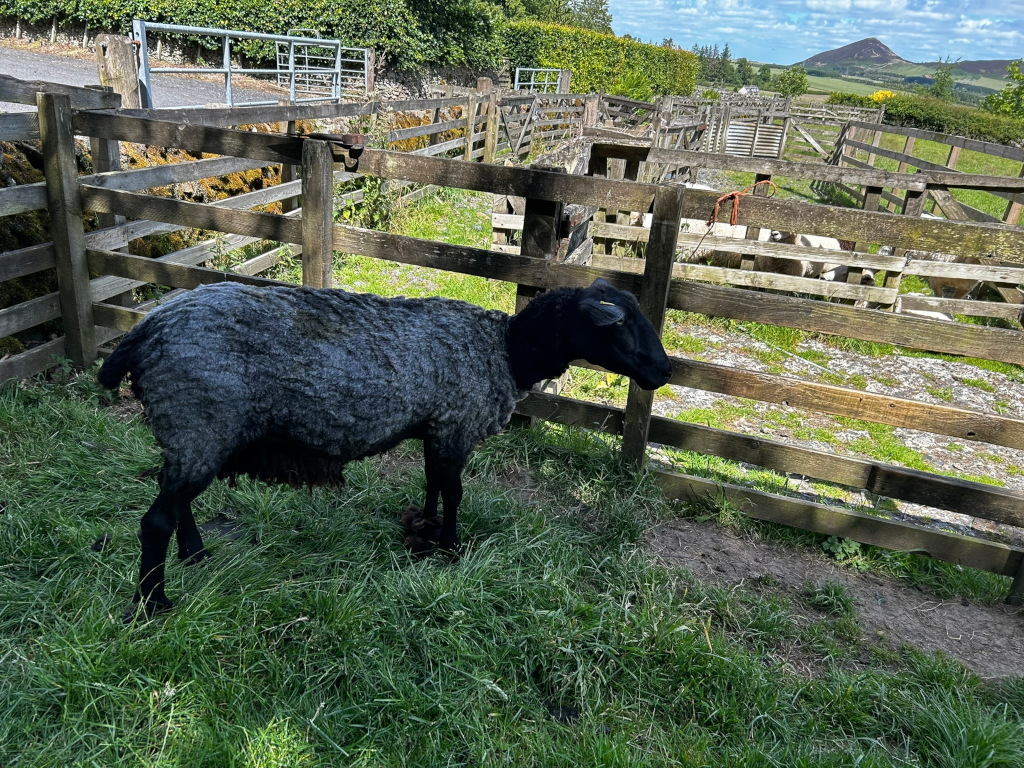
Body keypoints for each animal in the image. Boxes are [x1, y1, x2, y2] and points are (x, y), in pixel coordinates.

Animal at [98, 278, 673, 617]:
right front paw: (451, 547)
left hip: (194, 432)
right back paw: (154, 602)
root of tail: (142, 334)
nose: (664, 371)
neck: (509, 351)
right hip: (200, 418)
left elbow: (433, 483)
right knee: (156, 520)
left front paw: (423, 527)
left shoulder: (436, 428)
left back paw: (196, 555)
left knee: (176, 500)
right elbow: (455, 492)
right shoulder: (456, 426)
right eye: (620, 324)